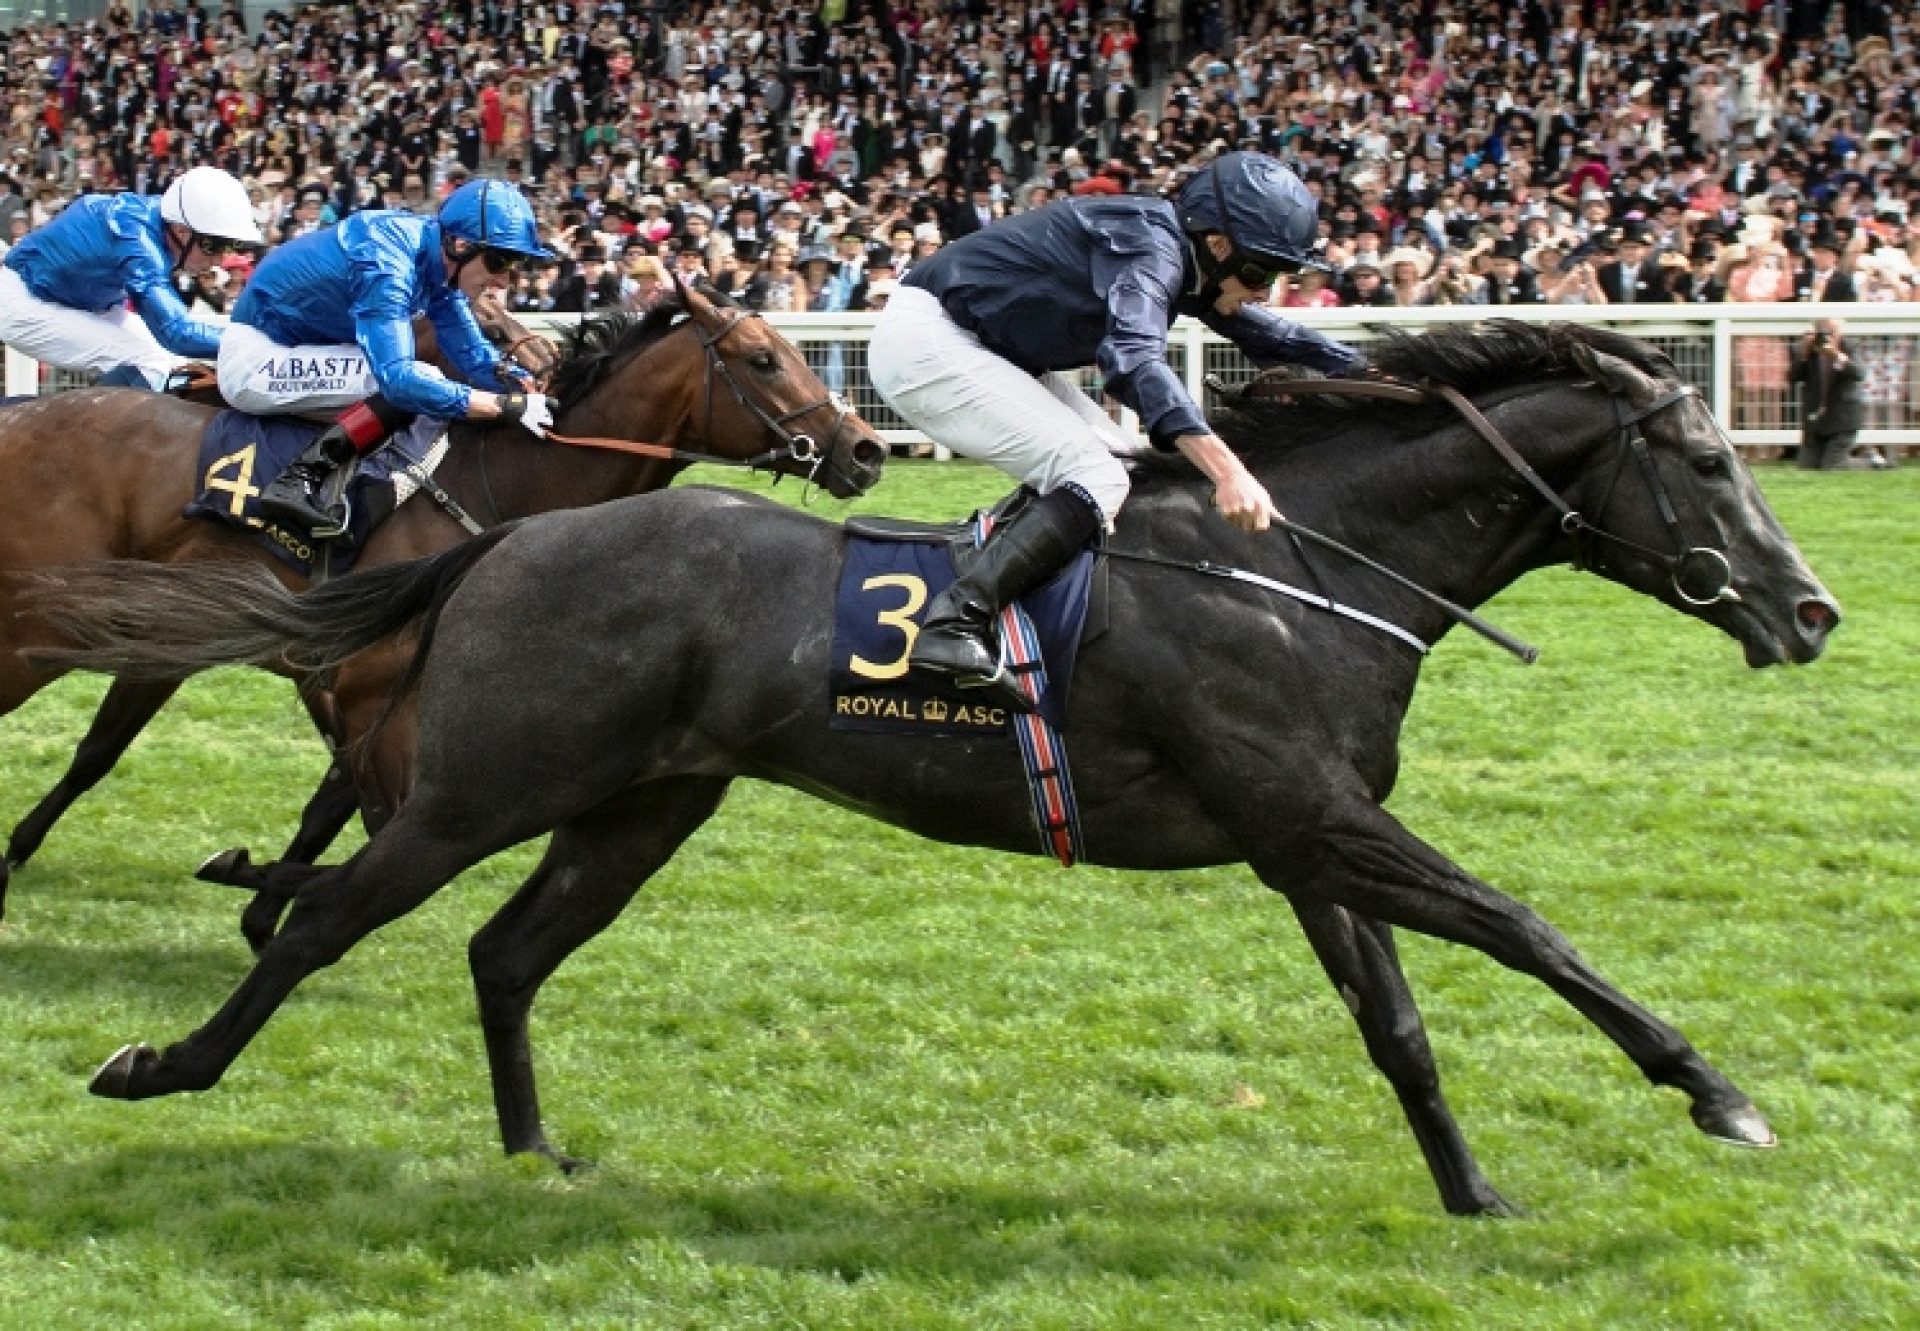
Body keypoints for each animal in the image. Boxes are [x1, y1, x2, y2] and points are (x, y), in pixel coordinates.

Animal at [0, 282, 883, 933]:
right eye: (764, 360)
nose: (867, 450)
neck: (504, 480)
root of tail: (25, 417)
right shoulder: (357, 683)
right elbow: (374, 814)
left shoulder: (363, 685)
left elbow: (339, 809)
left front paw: (261, 910)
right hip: (46, 625)